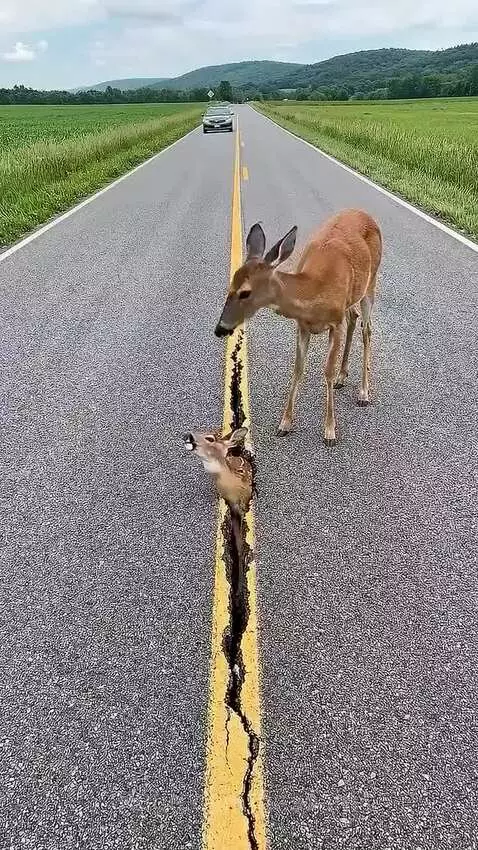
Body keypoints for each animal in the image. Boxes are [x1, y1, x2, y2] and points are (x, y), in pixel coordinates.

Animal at [214, 209, 382, 446]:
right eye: (231, 285)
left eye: (245, 292)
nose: (220, 328)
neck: (315, 288)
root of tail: (364, 213)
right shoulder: (302, 327)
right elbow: (298, 369)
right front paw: (284, 424)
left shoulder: (335, 322)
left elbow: (327, 371)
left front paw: (329, 431)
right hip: (353, 298)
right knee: (354, 317)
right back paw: (342, 377)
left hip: (371, 282)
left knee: (366, 329)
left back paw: (364, 393)